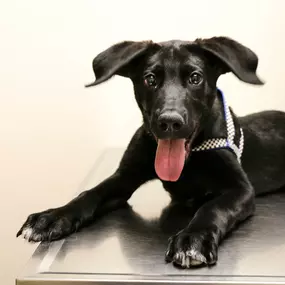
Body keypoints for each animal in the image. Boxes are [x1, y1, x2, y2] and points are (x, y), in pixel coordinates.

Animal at [16, 36, 285, 268]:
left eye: (195, 78)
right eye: (150, 79)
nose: (170, 121)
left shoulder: (241, 190)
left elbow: (213, 207)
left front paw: (193, 238)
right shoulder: (123, 178)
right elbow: (90, 193)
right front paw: (52, 217)